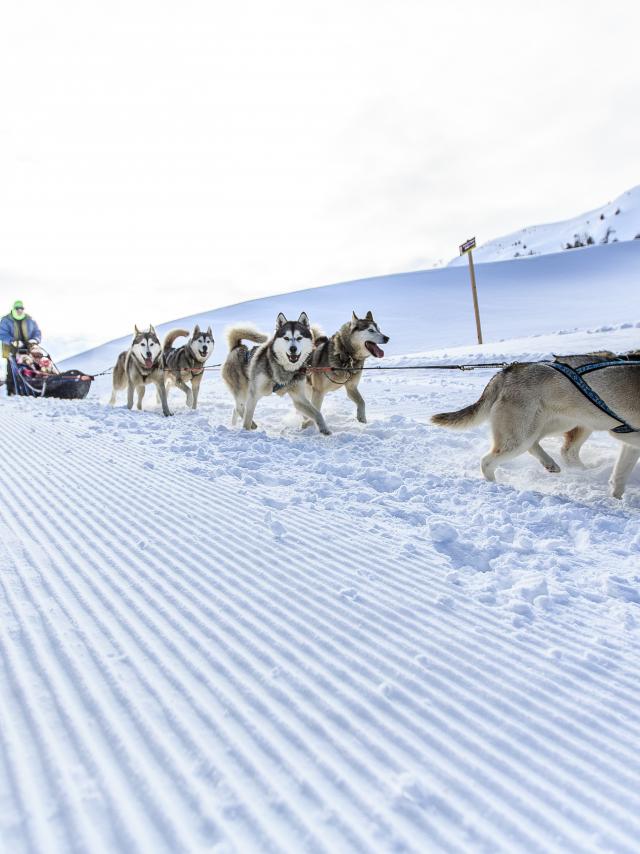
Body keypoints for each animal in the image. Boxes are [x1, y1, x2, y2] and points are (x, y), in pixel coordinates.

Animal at [430, 354, 640, 502]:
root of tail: (509, 370)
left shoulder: (630, 442)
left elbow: (620, 476)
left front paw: (617, 499)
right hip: (521, 437)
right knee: (487, 461)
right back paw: (497, 486)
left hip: (559, 423)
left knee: (540, 445)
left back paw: (552, 463)